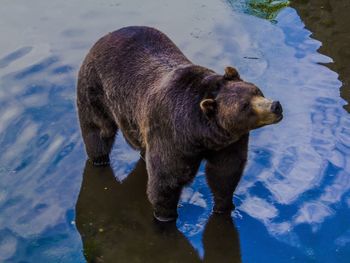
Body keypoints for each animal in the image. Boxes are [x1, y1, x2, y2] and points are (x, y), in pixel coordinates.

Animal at [76, 25, 282, 223]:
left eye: (256, 90)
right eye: (244, 106)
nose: (275, 106)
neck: (202, 135)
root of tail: (107, 35)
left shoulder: (230, 142)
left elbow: (225, 174)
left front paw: (224, 206)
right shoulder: (171, 135)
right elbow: (166, 181)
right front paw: (165, 217)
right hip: (96, 90)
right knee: (98, 130)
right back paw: (99, 159)